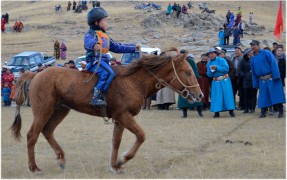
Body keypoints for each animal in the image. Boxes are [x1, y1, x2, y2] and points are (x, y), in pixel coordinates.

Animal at [11, 48, 204, 174]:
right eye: (188, 72)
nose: (200, 95)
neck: (134, 81)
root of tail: (36, 74)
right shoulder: (123, 116)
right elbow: (141, 136)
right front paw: (123, 159)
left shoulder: (119, 119)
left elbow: (116, 141)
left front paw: (115, 165)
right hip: (43, 111)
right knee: (32, 135)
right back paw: (34, 168)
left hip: (60, 111)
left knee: (48, 131)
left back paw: (61, 158)